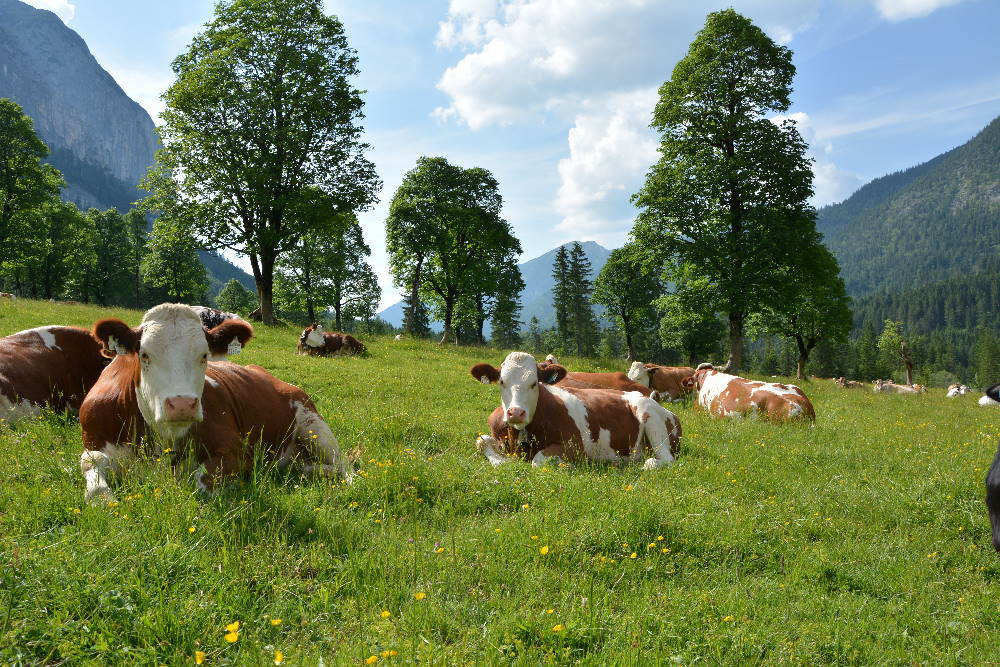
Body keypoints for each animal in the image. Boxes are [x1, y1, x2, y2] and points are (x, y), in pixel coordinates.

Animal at [78, 306, 354, 504]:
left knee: (343, 464)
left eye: (204, 356)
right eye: (145, 354)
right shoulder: (94, 441)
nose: (182, 404)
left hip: (314, 426)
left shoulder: (236, 452)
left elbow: (199, 482)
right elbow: (93, 474)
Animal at [468, 354, 680, 470]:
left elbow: (538, 460)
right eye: (502, 382)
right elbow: (481, 441)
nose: (516, 412)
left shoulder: (575, 445)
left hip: (651, 418)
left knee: (660, 460)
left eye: (534, 383)